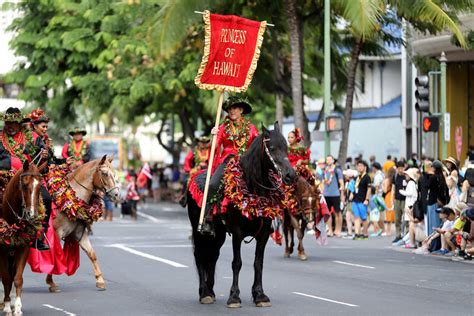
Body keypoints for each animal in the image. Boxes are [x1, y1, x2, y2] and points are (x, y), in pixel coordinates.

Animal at [0, 162, 42, 314]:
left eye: (40, 186)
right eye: (24, 185)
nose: (32, 215)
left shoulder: (23, 248)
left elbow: (17, 278)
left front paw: (17, 307)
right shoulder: (2, 251)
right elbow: (6, 278)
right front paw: (7, 307)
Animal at [186, 122, 294, 308]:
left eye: (286, 147)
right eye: (272, 148)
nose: (290, 175)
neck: (253, 189)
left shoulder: (263, 234)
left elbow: (258, 263)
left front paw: (260, 295)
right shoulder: (237, 232)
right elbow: (237, 263)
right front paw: (234, 297)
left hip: (218, 233)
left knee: (213, 256)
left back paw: (211, 290)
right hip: (198, 230)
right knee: (199, 255)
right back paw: (204, 293)